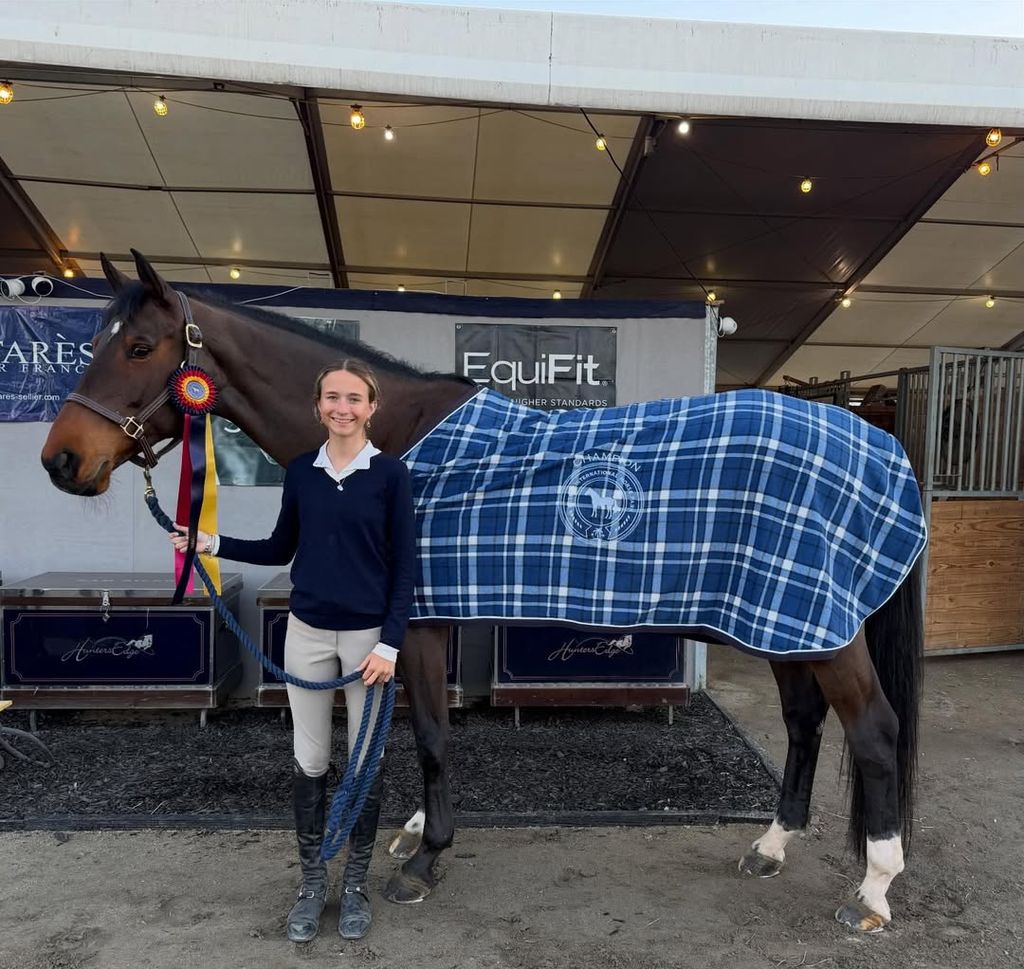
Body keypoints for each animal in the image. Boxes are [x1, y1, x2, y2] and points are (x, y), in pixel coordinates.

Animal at [41, 250, 924, 933]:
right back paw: (771, 845)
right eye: (98, 342)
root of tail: (879, 445)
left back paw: (874, 889)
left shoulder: (420, 624)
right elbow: (406, 730)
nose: (61, 461)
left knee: (875, 731)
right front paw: (412, 833)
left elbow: (431, 732)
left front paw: (425, 858)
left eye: (141, 346)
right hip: (785, 623)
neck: (391, 440)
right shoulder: (418, 622)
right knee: (806, 722)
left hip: (820, 628)